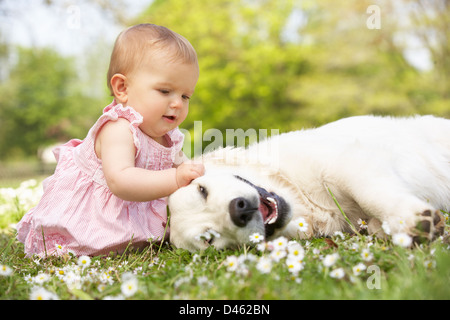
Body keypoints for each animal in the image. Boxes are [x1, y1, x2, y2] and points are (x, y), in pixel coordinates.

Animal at [169, 116, 450, 251]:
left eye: (202, 190)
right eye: (209, 239)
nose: (239, 210)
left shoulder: (347, 161)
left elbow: (371, 195)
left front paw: (410, 220)